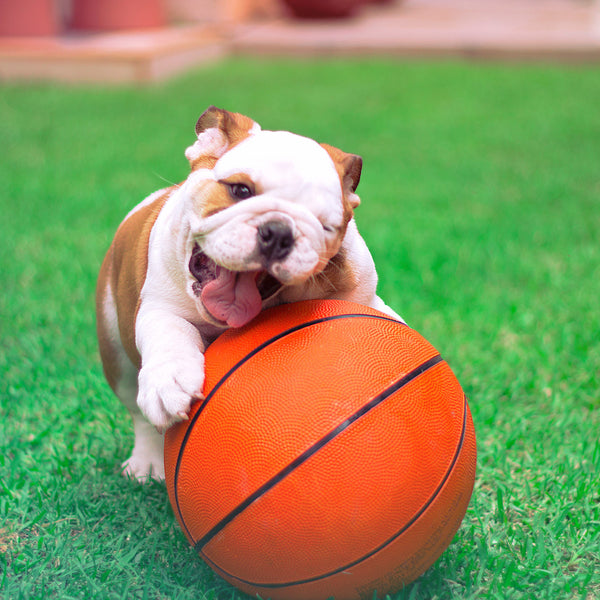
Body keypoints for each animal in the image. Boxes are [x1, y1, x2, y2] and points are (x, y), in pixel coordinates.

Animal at [97, 106, 404, 482]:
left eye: (326, 225)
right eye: (240, 190)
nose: (279, 231)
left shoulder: (366, 298)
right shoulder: (159, 306)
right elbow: (171, 332)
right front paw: (169, 379)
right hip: (114, 347)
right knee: (138, 414)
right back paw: (146, 462)